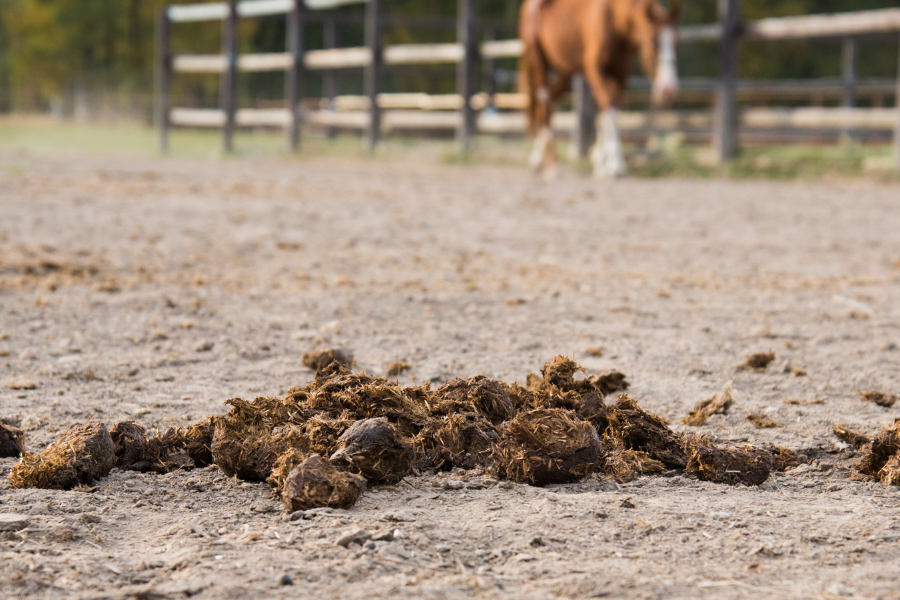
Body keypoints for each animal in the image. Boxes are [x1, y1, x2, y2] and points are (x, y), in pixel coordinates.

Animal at [518, 0, 681, 178]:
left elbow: (608, 112)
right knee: (544, 104)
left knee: (549, 105)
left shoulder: (620, 74)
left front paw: (600, 161)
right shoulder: (594, 70)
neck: (615, 21)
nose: (668, 88)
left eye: (676, 42)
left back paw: (538, 157)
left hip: (565, 70)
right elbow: (609, 110)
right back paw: (552, 165)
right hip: (538, 62)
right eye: (653, 41)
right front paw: (616, 164)